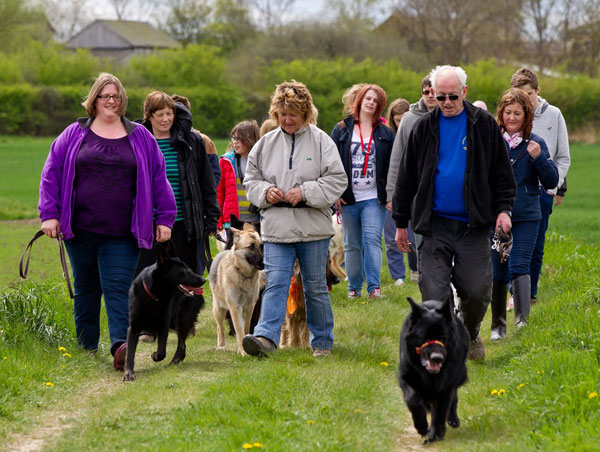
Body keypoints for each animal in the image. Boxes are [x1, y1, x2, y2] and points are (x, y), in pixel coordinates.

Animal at [122, 244, 206, 382]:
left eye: (189, 269)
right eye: (182, 272)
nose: (204, 280)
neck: (154, 296)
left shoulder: (163, 326)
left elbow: (162, 352)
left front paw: (155, 355)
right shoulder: (134, 328)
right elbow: (130, 353)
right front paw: (129, 373)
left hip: (182, 320)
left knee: (181, 345)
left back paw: (174, 362)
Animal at [209, 224, 262, 354]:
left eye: (261, 246)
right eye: (251, 247)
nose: (263, 263)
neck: (243, 274)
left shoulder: (250, 307)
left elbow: (246, 327)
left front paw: (246, 345)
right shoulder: (235, 307)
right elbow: (239, 329)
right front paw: (243, 351)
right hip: (218, 309)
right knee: (220, 328)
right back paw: (221, 346)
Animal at [400, 296, 472, 442]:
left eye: (443, 337)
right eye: (424, 337)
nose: (437, 358)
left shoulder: (446, 385)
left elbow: (440, 412)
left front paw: (435, 435)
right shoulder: (406, 377)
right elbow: (412, 399)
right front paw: (421, 426)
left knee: (453, 398)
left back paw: (452, 419)